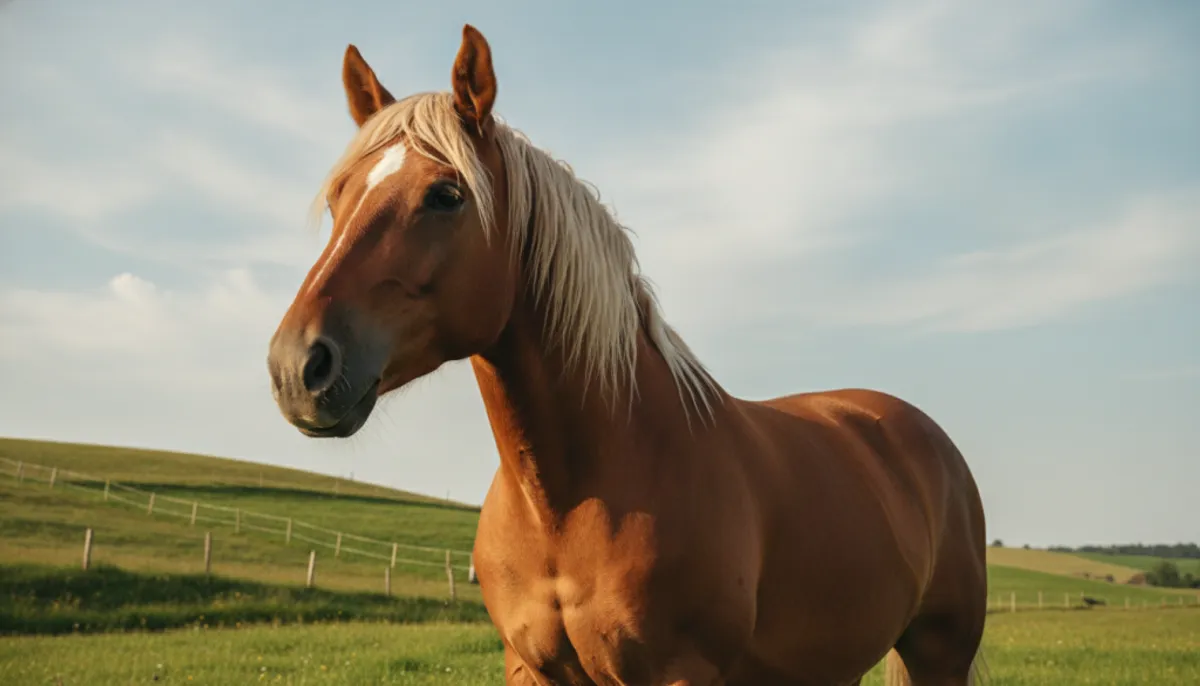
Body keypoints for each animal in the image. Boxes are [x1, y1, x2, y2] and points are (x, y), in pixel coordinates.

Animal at [266, 24, 989, 686]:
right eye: (337, 198)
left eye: (447, 195)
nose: (297, 367)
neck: (571, 500)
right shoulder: (530, 669)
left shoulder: (680, 674)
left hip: (937, 655)